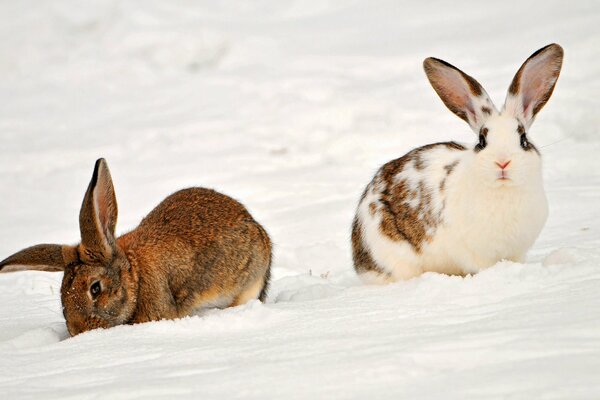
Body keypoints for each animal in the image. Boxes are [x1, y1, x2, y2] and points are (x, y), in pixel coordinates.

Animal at [352, 43, 564, 282]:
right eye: (482, 141)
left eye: (523, 139)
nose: (502, 163)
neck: (503, 192)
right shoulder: (475, 254)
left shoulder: (517, 251)